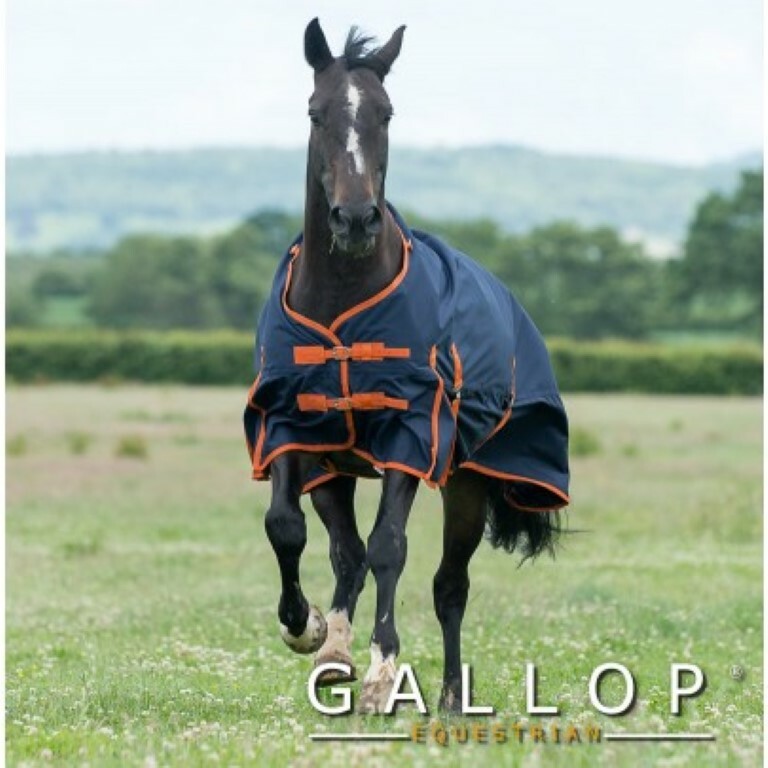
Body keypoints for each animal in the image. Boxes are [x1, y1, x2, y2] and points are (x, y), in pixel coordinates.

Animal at [244, 18, 570, 714]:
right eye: (315, 112)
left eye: (386, 113)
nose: (356, 218)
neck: (341, 305)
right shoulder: (290, 426)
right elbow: (288, 529)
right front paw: (310, 630)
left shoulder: (410, 433)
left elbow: (390, 548)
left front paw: (379, 673)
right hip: (337, 468)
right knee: (346, 553)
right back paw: (335, 652)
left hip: (467, 482)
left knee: (449, 586)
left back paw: (448, 695)